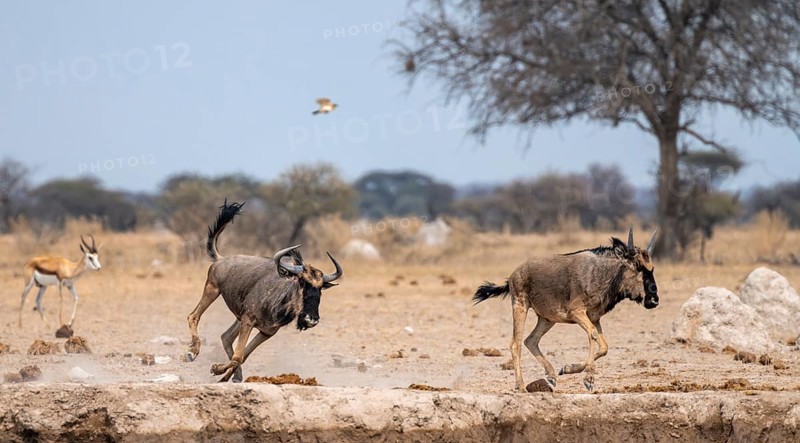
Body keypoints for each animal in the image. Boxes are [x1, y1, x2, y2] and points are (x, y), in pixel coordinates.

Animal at [186, 201, 343, 382]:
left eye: (320, 288)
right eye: (302, 282)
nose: (311, 319)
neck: (279, 304)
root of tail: (221, 259)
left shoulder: (266, 332)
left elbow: (242, 356)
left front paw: (220, 372)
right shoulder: (248, 321)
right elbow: (238, 356)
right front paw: (216, 369)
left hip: (238, 316)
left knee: (226, 336)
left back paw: (233, 376)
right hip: (212, 289)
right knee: (194, 316)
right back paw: (192, 352)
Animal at [473, 228, 658, 392]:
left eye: (651, 268)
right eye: (637, 266)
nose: (654, 300)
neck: (602, 274)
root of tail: (513, 275)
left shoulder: (594, 317)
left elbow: (604, 346)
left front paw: (568, 368)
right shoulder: (576, 313)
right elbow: (593, 334)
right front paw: (588, 379)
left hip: (547, 319)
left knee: (530, 340)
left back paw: (551, 376)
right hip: (520, 306)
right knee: (516, 344)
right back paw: (521, 386)